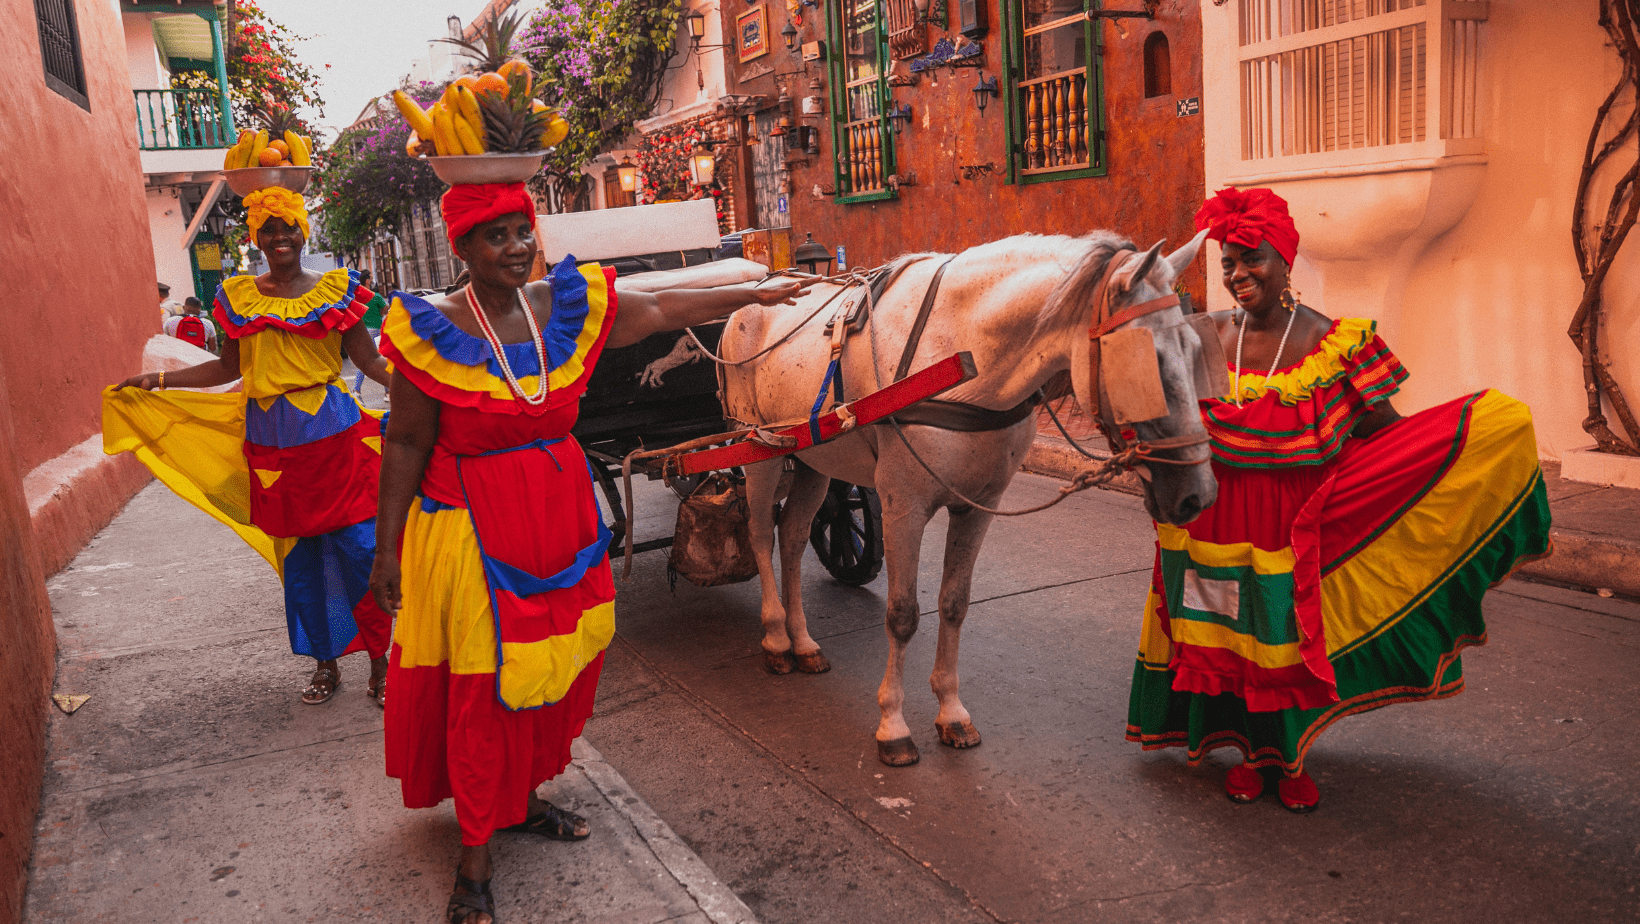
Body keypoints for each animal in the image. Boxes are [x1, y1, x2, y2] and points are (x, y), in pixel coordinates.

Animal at [721, 231, 1220, 768]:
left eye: (1195, 348)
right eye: (1147, 359)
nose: (1199, 494)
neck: (963, 353)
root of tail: (753, 292)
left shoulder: (976, 505)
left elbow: (954, 603)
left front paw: (951, 711)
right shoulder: (903, 506)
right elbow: (902, 615)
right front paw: (893, 725)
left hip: (812, 457)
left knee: (792, 538)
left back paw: (803, 641)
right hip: (758, 449)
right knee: (760, 535)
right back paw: (776, 638)